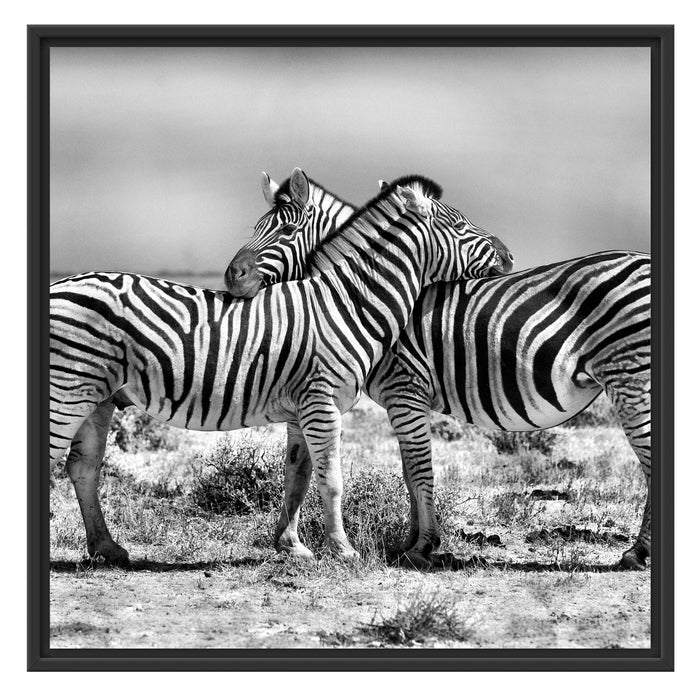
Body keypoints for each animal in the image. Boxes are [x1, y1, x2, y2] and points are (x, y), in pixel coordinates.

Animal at [50, 169, 512, 563]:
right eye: (461, 227)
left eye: (287, 230)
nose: (508, 256)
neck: (348, 302)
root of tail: (60, 283)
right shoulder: (323, 403)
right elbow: (331, 479)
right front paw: (343, 551)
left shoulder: (303, 408)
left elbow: (298, 475)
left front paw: (293, 547)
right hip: (67, 391)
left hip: (98, 398)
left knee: (83, 467)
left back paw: (107, 548)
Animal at [225, 175, 651, 571]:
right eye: (257, 227)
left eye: (285, 231)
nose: (232, 277)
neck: (360, 295)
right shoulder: (403, 400)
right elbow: (408, 472)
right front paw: (412, 541)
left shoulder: (405, 389)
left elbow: (418, 470)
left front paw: (422, 546)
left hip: (629, 377)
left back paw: (637, 553)